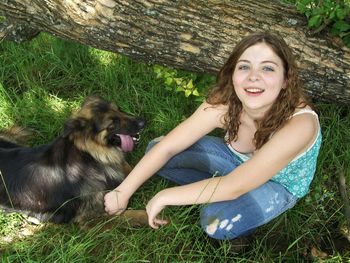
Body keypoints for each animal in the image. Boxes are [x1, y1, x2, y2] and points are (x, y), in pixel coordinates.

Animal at [0, 96, 146, 225]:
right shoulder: (90, 218)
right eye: (113, 122)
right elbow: (129, 216)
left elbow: (135, 169)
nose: (143, 122)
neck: (91, 155)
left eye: (119, 109)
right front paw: (146, 215)